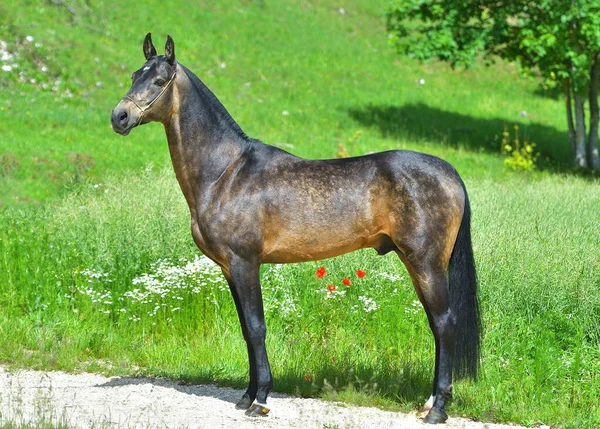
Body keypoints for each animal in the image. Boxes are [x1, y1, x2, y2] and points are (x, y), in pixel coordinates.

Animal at [110, 32, 480, 422]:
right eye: (134, 75)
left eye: (159, 81)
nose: (119, 117)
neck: (225, 173)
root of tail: (449, 171)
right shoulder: (229, 268)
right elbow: (246, 330)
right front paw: (246, 396)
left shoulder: (245, 263)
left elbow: (256, 327)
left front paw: (260, 400)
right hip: (416, 263)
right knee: (437, 325)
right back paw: (428, 403)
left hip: (426, 263)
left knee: (444, 324)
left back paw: (437, 409)